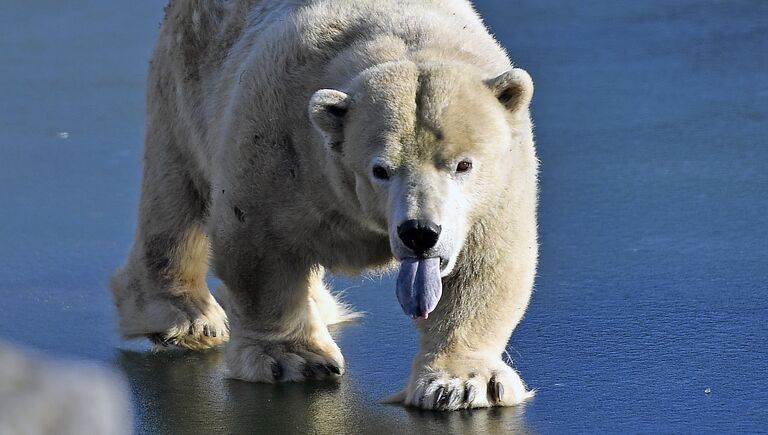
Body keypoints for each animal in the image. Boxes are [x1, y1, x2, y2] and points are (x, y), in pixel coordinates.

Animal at [111, 0, 536, 412]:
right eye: (380, 169)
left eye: (463, 164)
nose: (419, 233)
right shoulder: (277, 138)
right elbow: (258, 244)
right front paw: (293, 358)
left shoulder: (500, 184)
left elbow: (485, 264)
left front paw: (461, 384)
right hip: (184, 86)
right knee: (175, 195)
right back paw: (188, 319)